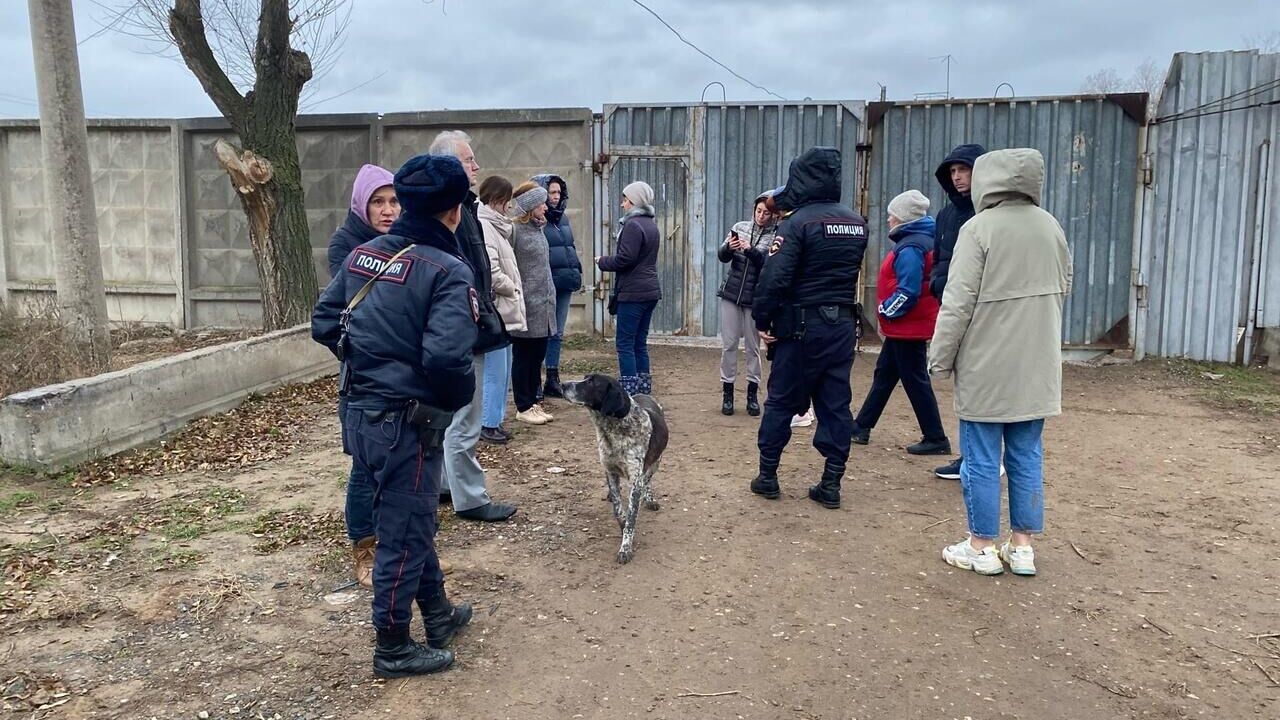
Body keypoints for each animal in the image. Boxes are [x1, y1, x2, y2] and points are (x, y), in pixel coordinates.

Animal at [565, 371, 675, 563]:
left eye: (592, 382)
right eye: (585, 377)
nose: (562, 385)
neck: (614, 429)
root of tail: (644, 394)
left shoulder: (635, 480)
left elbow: (631, 517)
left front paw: (625, 548)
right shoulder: (610, 471)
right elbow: (618, 509)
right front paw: (621, 523)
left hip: (656, 462)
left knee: (648, 480)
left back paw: (649, 498)